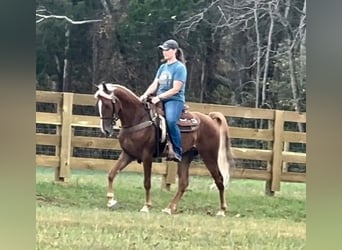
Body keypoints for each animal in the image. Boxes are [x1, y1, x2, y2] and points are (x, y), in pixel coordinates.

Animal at [94, 83, 235, 216]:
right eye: (98, 104)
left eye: (107, 105)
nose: (105, 130)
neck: (138, 118)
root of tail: (210, 119)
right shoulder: (128, 154)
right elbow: (111, 173)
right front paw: (111, 201)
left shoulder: (147, 156)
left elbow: (147, 182)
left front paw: (146, 206)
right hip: (186, 157)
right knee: (183, 183)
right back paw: (169, 208)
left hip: (209, 155)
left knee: (219, 179)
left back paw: (222, 210)